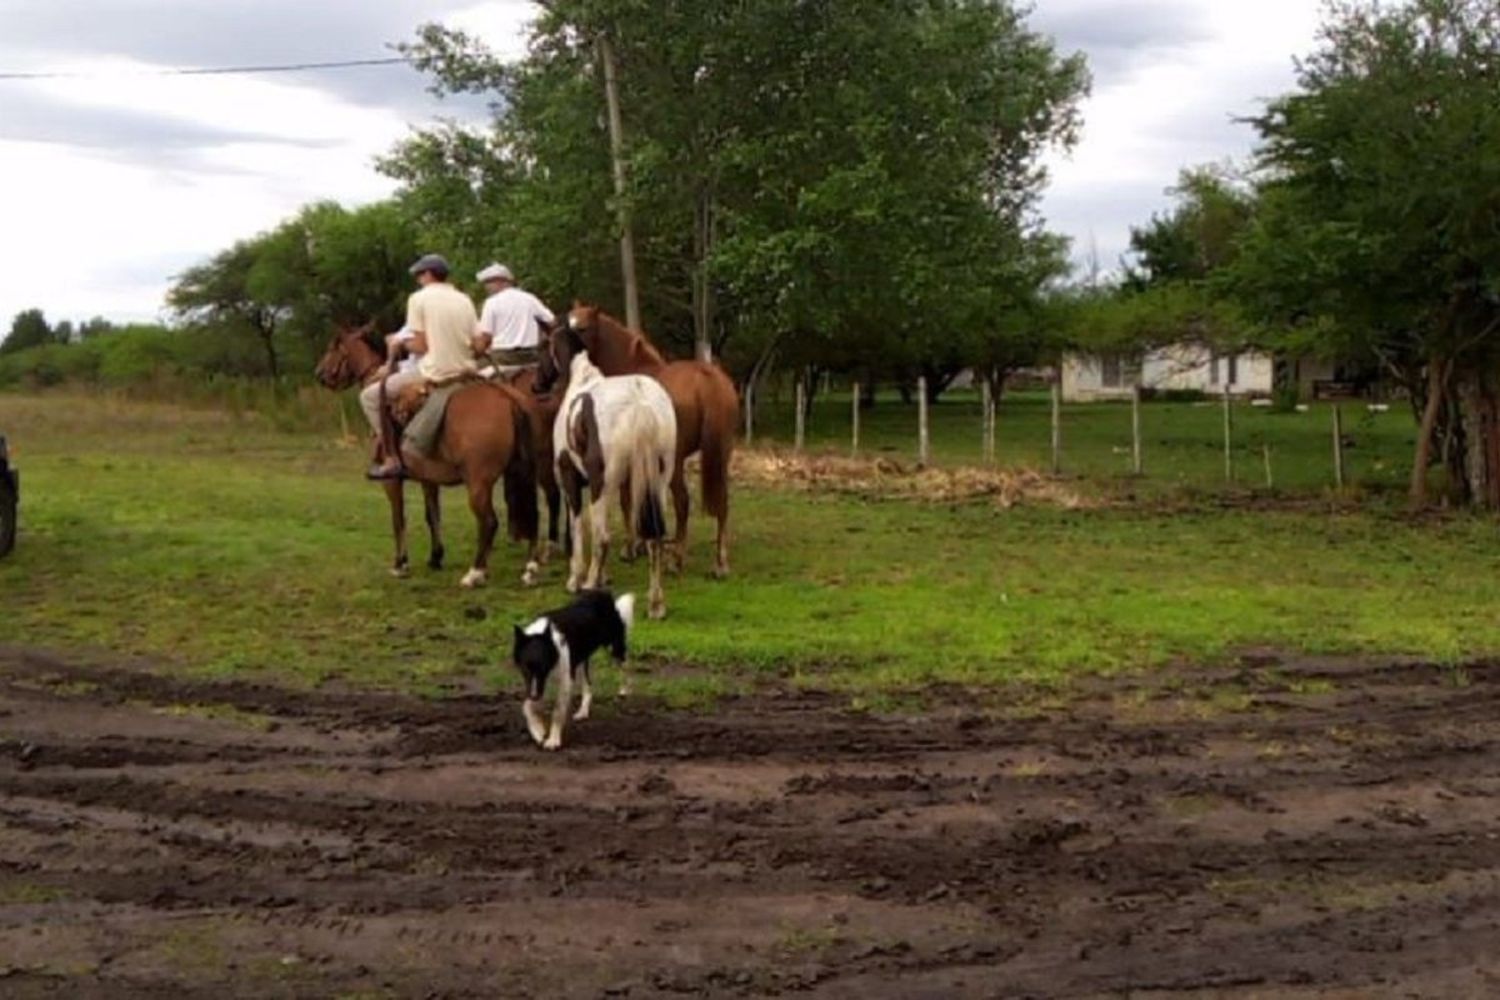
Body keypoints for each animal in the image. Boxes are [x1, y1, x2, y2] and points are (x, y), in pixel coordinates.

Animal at [313, 328, 555, 590]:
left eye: (333, 348)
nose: (319, 374)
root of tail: (508, 398)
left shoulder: (391, 481)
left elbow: (398, 518)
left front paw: (401, 563)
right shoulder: (428, 478)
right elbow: (432, 516)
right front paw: (436, 557)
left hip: (479, 483)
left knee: (490, 521)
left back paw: (476, 572)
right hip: (524, 472)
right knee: (533, 514)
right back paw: (530, 569)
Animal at [516, 590, 633, 746]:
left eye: (544, 667)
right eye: (525, 668)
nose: (534, 696)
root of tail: (604, 594)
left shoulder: (564, 680)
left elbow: (558, 712)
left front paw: (553, 740)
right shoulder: (536, 683)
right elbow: (526, 707)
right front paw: (538, 731)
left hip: (614, 648)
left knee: (626, 667)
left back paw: (625, 690)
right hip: (581, 660)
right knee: (588, 685)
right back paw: (583, 712)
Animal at [537, 325, 678, 617]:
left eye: (542, 345)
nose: (537, 384)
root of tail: (640, 402)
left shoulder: (572, 480)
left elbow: (579, 526)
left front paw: (576, 579)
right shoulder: (611, 487)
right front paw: (603, 577)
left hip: (603, 484)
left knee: (602, 536)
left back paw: (589, 584)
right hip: (656, 483)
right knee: (655, 538)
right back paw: (656, 604)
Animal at [564, 301, 738, 575]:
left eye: (582, 328)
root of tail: (706, 378)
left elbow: (627, 500)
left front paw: (630, 548)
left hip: (676, 460)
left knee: (683, 501)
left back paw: (676, 560)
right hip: (721, 456)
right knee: (723, 501)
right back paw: (720, 563)